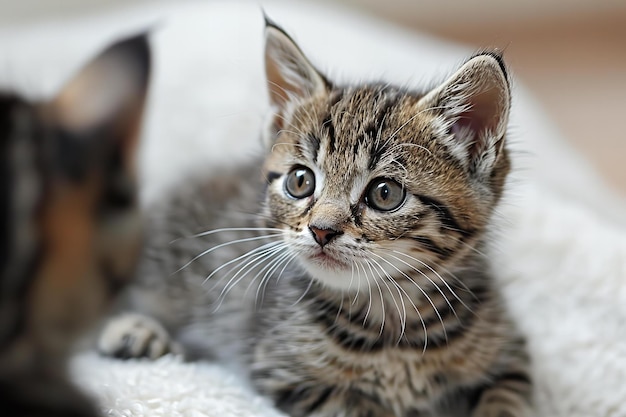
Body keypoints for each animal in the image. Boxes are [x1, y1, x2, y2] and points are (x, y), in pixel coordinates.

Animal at [100, 19, 528, 416]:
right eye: (300, 181)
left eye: (385, 193)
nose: (321, 230)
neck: (393, 317)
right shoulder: (283, 370)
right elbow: (357, 406)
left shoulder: (512, 358)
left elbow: (509, 402)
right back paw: (136, 331)